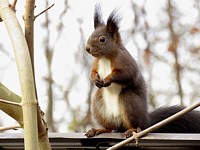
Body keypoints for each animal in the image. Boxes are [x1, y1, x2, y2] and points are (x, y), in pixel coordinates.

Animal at [84, 4, 200, 138]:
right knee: (110, 127)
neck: (105, 57)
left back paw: (132, 130)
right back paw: (99, 130)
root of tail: (147, 120)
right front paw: (95, 80)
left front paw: (108, 79)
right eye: (90, 35)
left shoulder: (125, 61)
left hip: (129, 102)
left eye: (102, 39)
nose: (87, 48)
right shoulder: (96, 63)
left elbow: (127, 74)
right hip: (99, 105)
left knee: (136, 125)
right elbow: (92, 72)